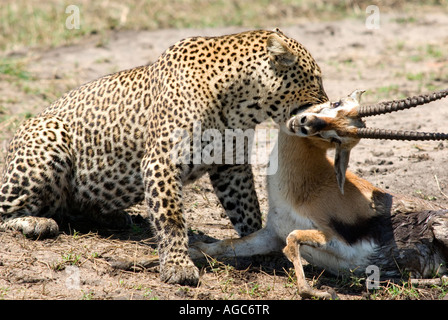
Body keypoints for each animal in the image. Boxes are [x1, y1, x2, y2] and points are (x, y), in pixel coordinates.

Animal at [0, 29, 328, 284]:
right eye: (315, 78)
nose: (327, 101)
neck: (241, 103)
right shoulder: (162, 161)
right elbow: (171, 217)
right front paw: (178, 266)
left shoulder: (231, 165)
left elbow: (248, 209)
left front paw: (262, 250)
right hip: (48, 135)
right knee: (7, 209)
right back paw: (37, 223)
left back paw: (111, 217)